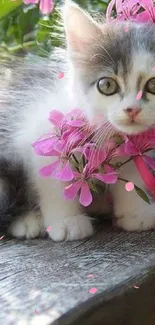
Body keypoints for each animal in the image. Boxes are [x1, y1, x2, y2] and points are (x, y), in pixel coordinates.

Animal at [0, 0, 155, 238]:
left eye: (153, 84)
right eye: (107, 85)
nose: (132, 110)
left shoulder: (135, 150)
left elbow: (131, 177)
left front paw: (135, 213)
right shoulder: (39, 138)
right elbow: (53, 183)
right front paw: (66, 222)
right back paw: (28, 221)